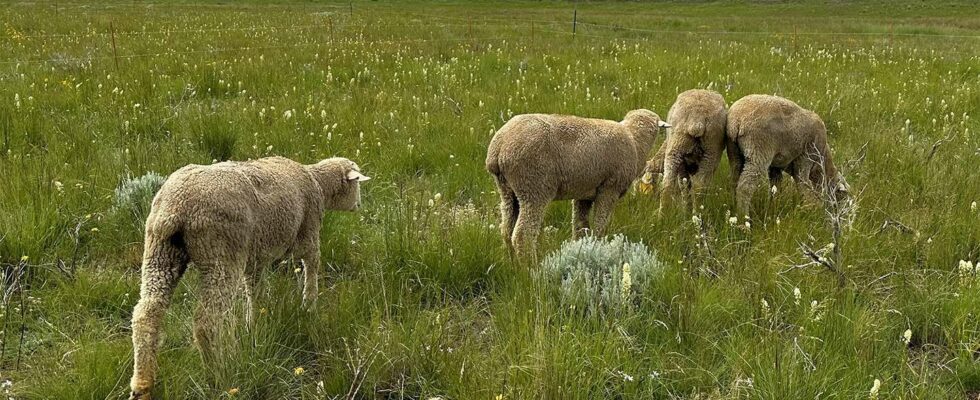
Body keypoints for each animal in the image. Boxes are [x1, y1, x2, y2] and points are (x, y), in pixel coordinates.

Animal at [130, 155, 372, 400]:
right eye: (357, 184)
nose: (359, 205)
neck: (318, 183)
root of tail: (177, 208)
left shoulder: (256, 258)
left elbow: (255, 293)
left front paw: (254, 325)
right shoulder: (309, 235)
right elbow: (312, 269)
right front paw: (309, 306)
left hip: (160, 251)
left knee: (146, 314)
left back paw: (142, 385)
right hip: (221, 253)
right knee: (207, 321)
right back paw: (218, 376)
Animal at [486, 109, 668, 260]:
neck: (635, 142)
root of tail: (499, 148)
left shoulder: (584, 193)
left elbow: (581, 227)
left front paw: (582, 247)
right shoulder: (610, 189)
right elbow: (601, 226)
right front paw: (599, 247)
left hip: (508, 191)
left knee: (506, 231)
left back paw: (512, 264)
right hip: (533, 187)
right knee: (523, 236)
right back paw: (530, 268)